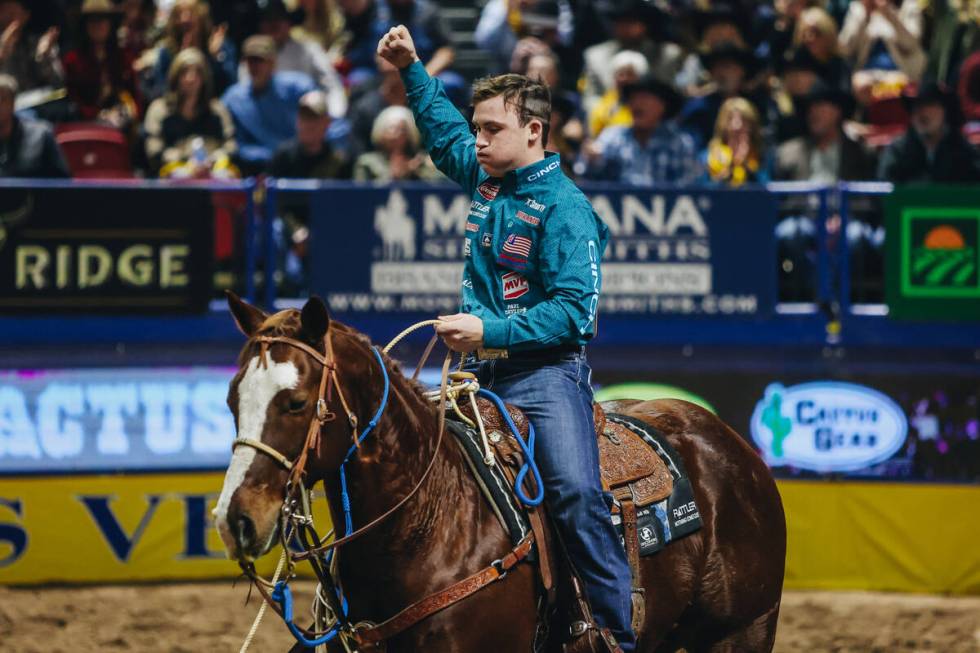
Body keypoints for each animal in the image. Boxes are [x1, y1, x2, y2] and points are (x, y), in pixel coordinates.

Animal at [216, 292, 788, 648]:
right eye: (230, 398)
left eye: (295, 402)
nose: (233, 519)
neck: (430, 521)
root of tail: (732, 447)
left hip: (743, 630)